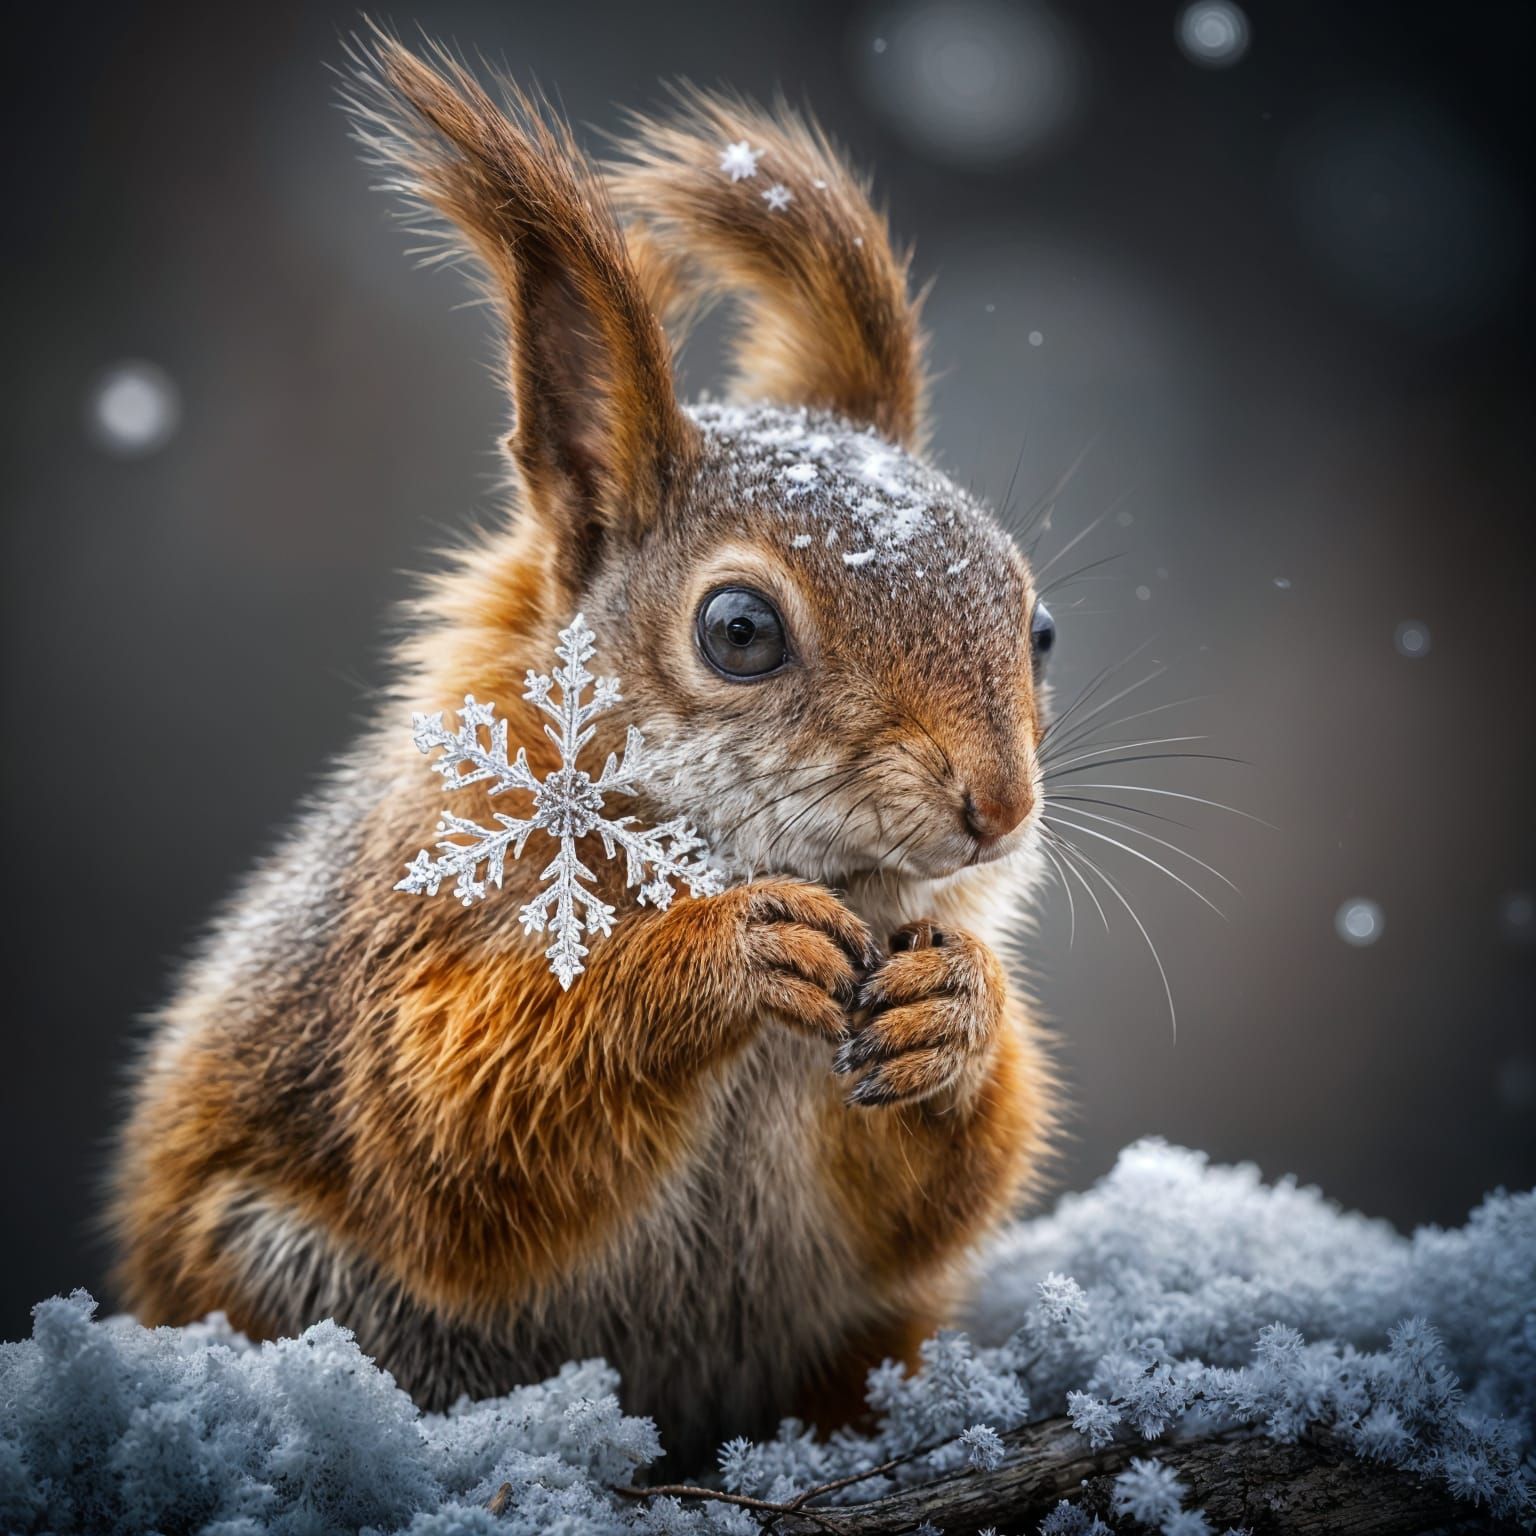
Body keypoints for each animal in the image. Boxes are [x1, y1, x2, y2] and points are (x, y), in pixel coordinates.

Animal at [111, 33, 1059, 1472]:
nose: (998, 805)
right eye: (739, 631)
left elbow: (938, 1196)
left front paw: (957, 1012)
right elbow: (452, 1130)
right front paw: (716, 959)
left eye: (1039, 627)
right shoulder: (410, 937)